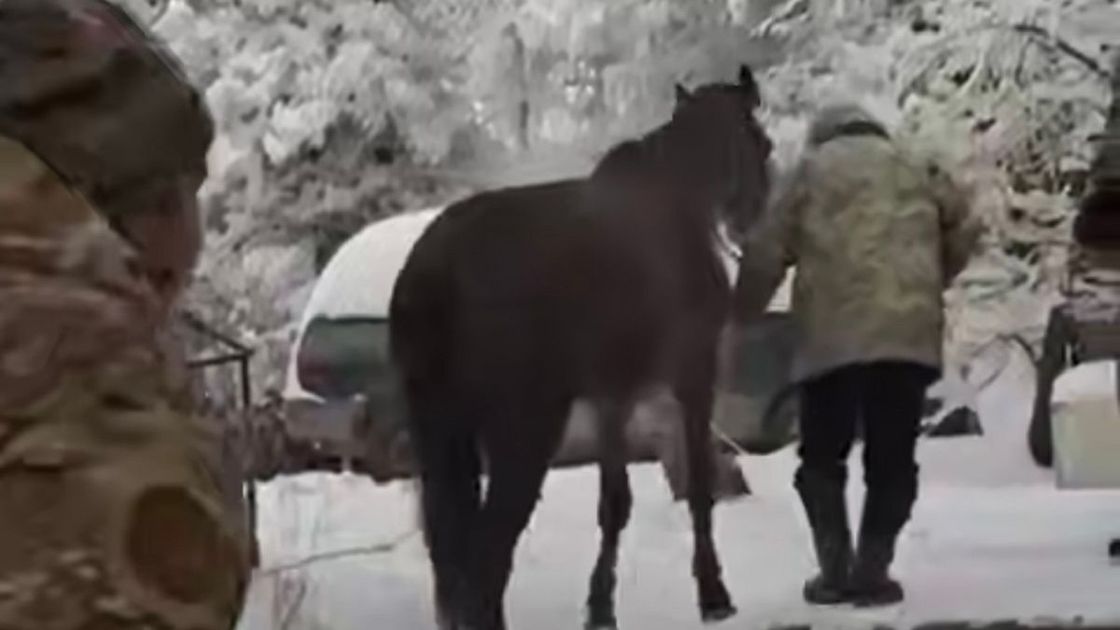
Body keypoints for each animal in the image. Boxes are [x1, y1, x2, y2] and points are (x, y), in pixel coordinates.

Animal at [389, 64, 773, 630]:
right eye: (762, 144)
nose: (754, 215)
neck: (677, 202)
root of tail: (436, 268)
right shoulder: (693, 375)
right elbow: (700, 486)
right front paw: (713, 593)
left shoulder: (612, 396)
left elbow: (614, 503)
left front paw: (600, 607)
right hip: (524, 428)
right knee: (487, 553)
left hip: (442, 431)